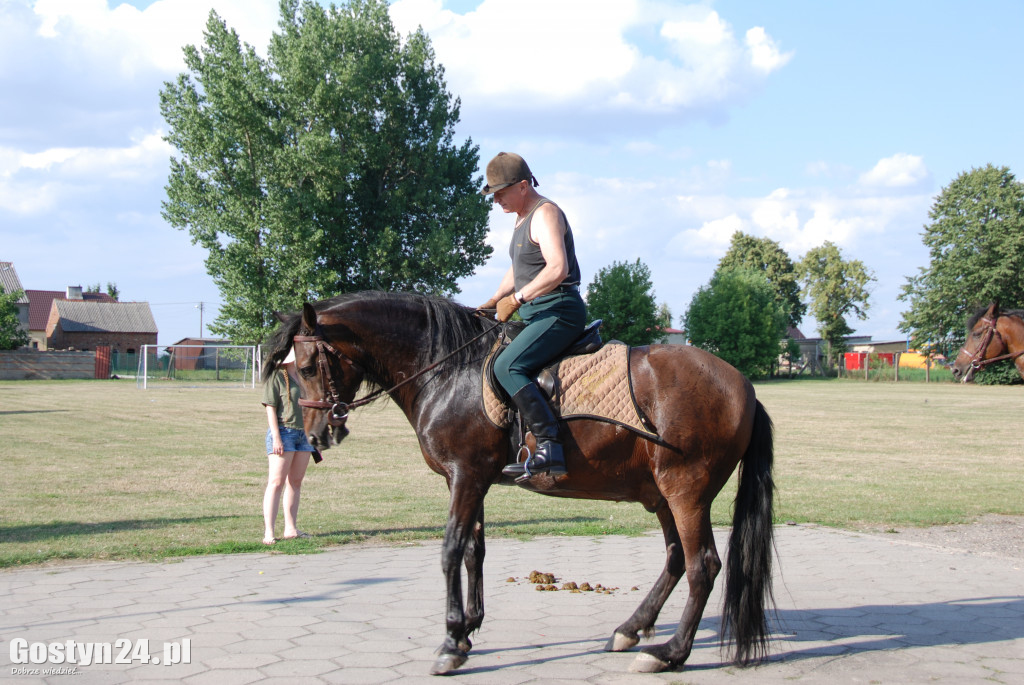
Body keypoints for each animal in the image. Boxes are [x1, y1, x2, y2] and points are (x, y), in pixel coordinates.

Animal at [264, 290, 774, 671]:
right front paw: (467, 629)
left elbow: (450, 550)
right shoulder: (469, 480)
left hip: (686, 491)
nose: (315, 436)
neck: (450, 371)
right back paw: (631, 629)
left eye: (306, 368)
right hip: (661, 495)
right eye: (292, 371)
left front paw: (450, 641)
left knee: (702, 565)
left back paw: (669, 653)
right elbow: (474, 550)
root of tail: (744, 387)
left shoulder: (466, 476)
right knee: (674, 559)